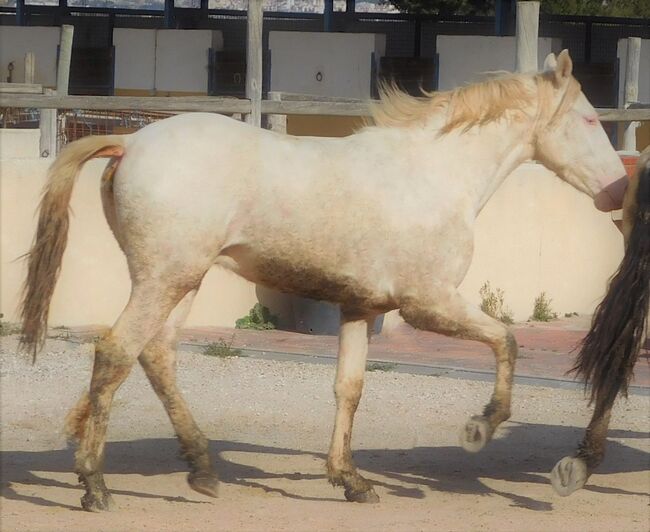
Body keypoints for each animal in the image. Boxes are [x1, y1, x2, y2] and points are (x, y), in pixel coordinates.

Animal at [21, 51, 624, 512]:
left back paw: (201, 468)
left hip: (181, 280)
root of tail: (130, 143)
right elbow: (508, 340)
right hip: (164, 278)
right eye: (591, 120)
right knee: (116, 352)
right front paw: (480, 427)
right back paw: (95, 484)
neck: (432, 174)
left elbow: (348, 389)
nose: (618, 191)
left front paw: (350, 480)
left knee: (157, 355)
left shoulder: (361, 308)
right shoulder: (428, 304)